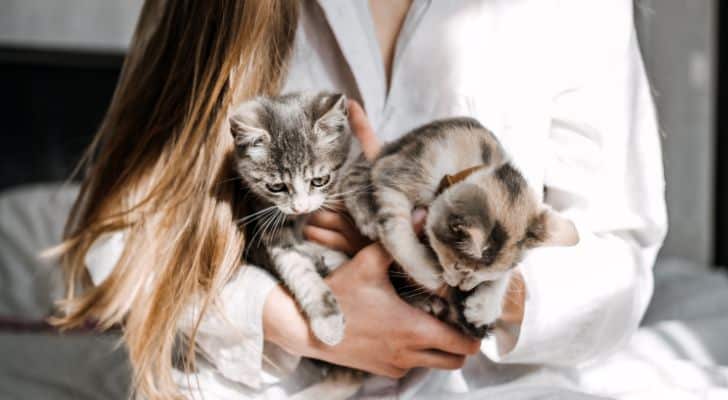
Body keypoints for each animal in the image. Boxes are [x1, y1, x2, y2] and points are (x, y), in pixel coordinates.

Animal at [229, 92, 352, 346]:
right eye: (276, 187)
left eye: (320, 180)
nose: (300, 207)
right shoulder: (269, 219)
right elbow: (296, 267)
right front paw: (328, 321)